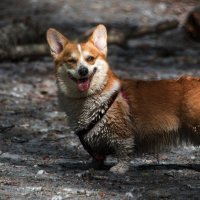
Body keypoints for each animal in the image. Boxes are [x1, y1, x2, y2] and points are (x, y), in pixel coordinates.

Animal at [46, 23, 200, 173]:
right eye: (71, 61)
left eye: (90, 59)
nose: (83, 71)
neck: (86, 97)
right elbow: (97, 156)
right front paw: (93, 166)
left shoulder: (121, 132)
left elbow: (123, 151)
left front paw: (120, 168)